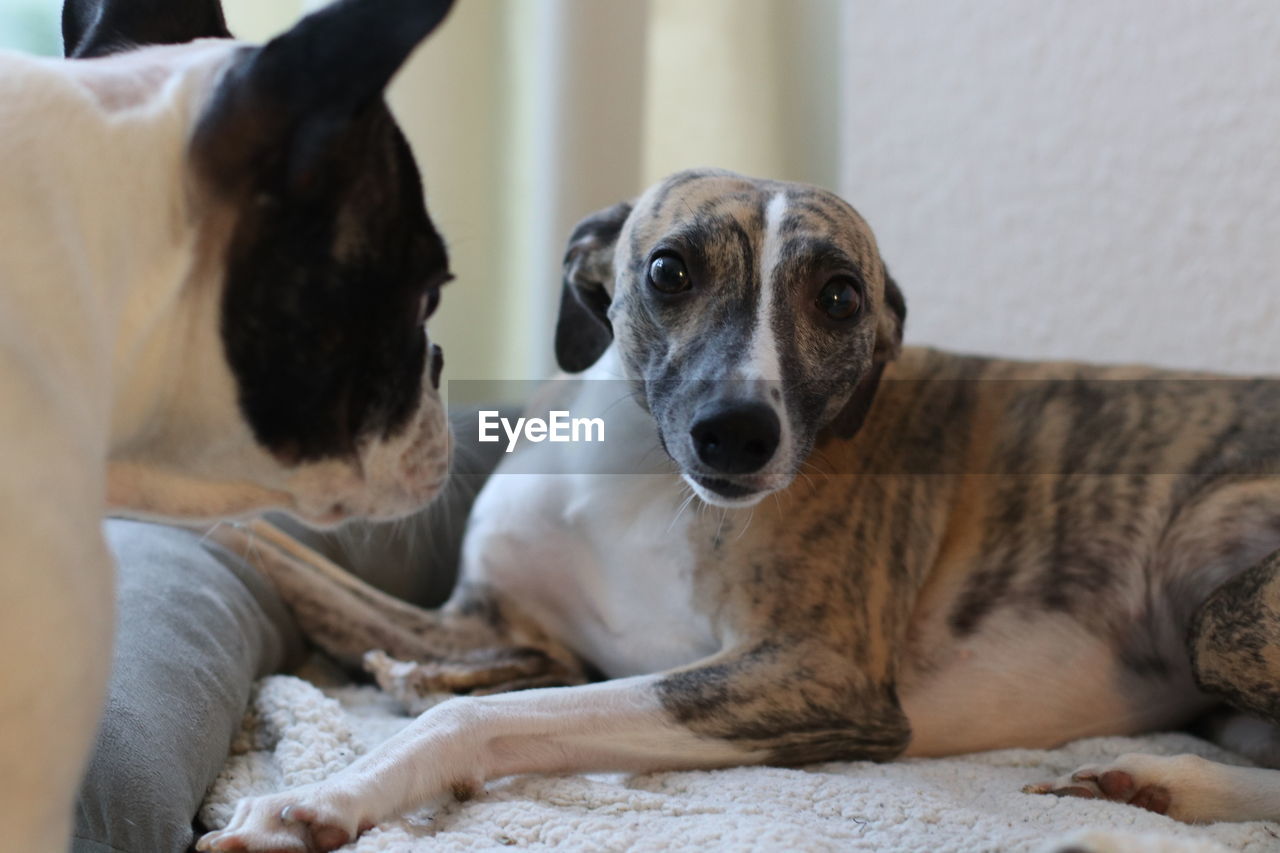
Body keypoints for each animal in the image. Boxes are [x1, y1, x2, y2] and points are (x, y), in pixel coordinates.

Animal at [197, 169, 1280, 845]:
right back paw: (1155, 781)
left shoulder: (808, 676)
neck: (641, 480)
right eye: (667, 268)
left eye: (840, 295)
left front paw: (320, 800)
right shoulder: (481, 616)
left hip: (1214, 592)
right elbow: (273, 550)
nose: (735, 435)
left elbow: (487, 715)